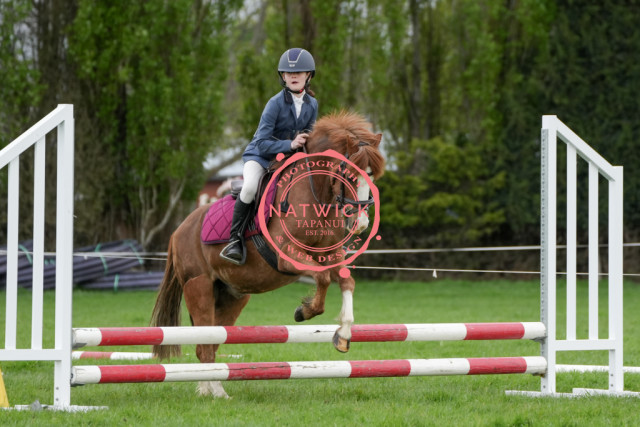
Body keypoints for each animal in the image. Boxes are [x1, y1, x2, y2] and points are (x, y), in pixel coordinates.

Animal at [150, 111, 385, 398]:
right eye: (348, 174)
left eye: (372, 176)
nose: (361, 224)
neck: (316, 193)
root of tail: (179, 230)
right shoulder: (287, 257)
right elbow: (323, 279)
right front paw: (304, 311)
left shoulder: (331, 254)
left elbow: (346, 282)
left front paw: (343, 335)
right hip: (199, 287)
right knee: (204, 345)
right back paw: (216, 392)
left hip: (232, 296)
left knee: (211, 342)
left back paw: (211, 388)